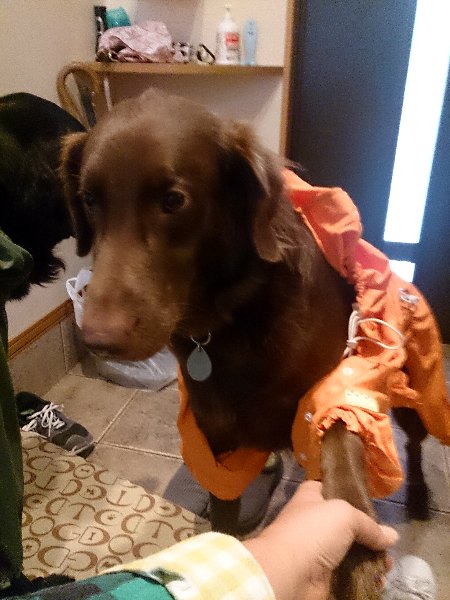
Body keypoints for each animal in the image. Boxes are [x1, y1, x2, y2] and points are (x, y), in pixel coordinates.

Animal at [61, 88, 449, 600]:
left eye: (173, 200)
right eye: (89, 199)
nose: (98, 340)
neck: (231, 320)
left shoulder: (342, 379)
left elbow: (342, 436)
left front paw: (356, 552)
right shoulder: (216, 438)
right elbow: (224, 518)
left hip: (414, 393)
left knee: (418, 446)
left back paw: (420, 496)